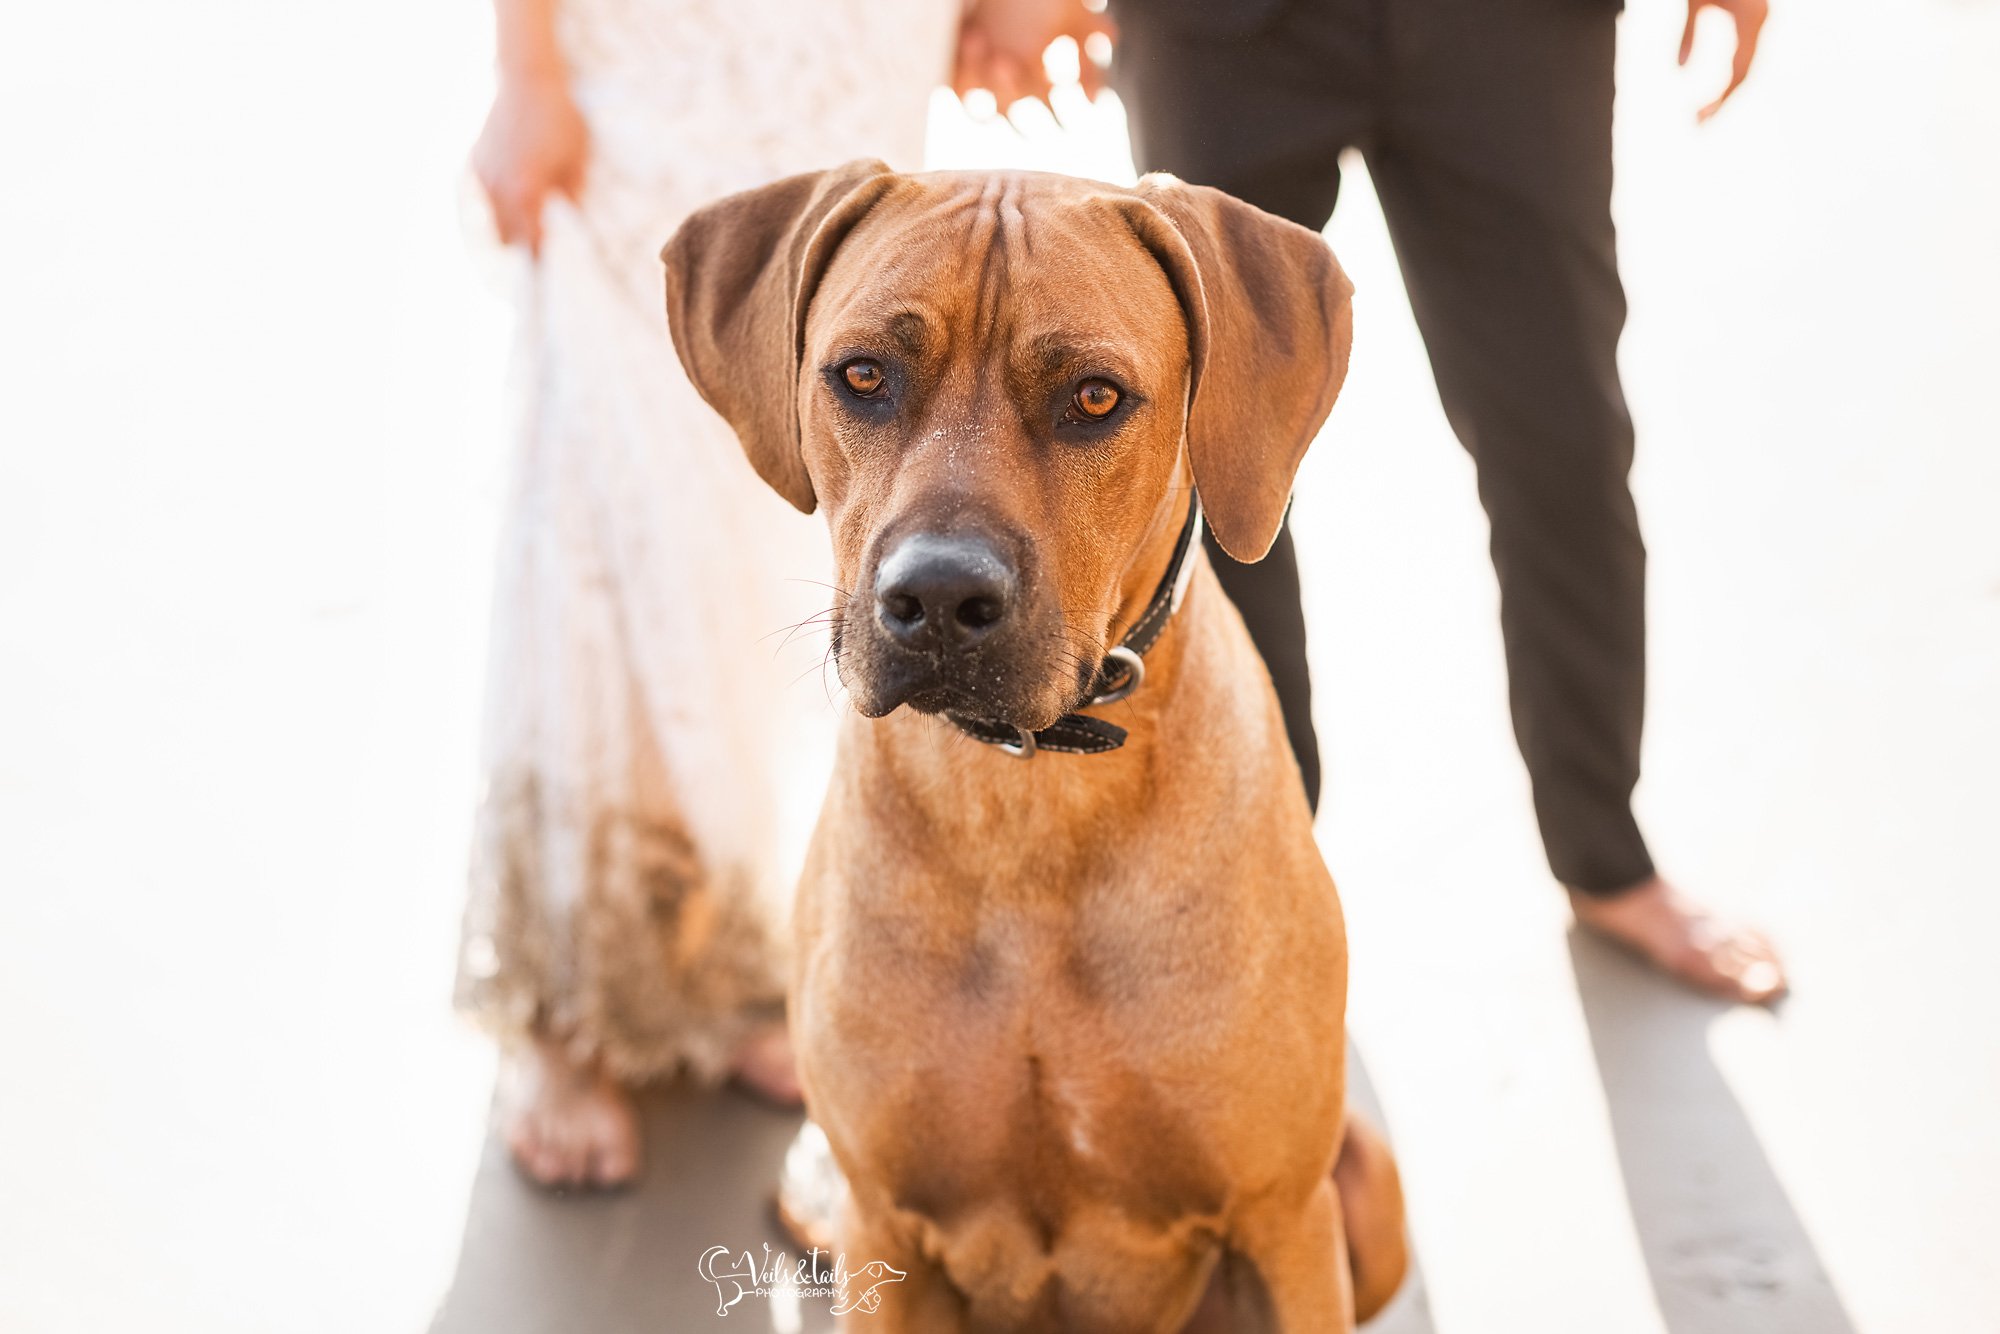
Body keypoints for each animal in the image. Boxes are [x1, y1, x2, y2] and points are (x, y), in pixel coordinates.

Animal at [668, 162, 1408, 1328]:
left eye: (1095, 397)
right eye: (861, 375)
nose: (935, 597)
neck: (1027, 805)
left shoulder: (1284, 1220)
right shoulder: (883, 1230)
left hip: (1364, 1190)